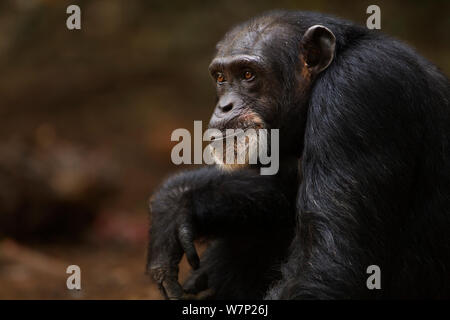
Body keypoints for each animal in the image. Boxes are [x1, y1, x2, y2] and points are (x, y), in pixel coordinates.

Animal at [146, 10, 448, 300]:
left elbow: (327, 265)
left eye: (247, 74)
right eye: (221, 78)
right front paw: (175, 203)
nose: (224, 106)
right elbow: (281, 181)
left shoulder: (357, 91)